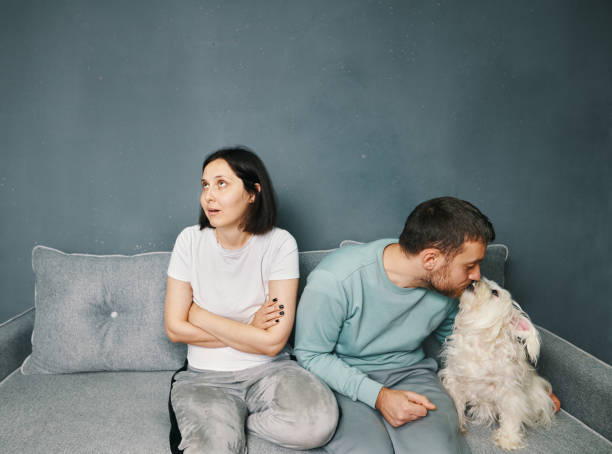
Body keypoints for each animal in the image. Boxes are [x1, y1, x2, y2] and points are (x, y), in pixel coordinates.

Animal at [438, 278, 556, 448]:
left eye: (495, 292)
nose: (475, 279)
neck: (479, 343)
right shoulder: (455, 379)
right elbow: (457, 404)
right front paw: (459, 423)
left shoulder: (510, 392)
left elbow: (511, 416)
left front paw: (508, 439)